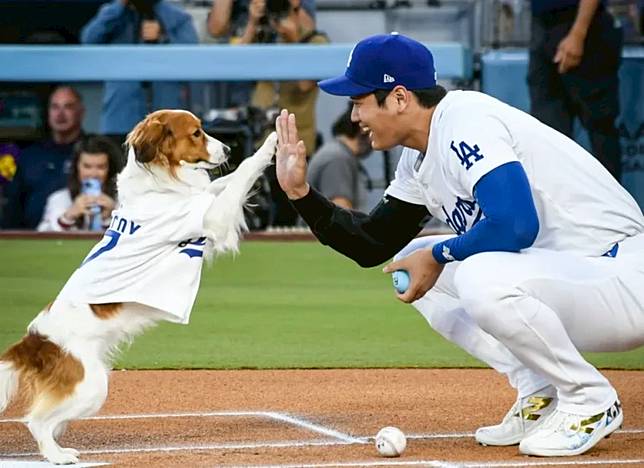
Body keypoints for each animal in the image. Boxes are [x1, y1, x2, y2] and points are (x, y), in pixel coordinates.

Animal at [0, 110, 276, 464]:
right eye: (197, 133)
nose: (228, 149)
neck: (158, 186)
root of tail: (33, 342)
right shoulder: (212, 218)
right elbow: (242, 174)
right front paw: (271, 144)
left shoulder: (203, 202)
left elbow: (218, 184)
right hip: (91, 385)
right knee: (36, 420)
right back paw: (57, 456)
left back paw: (60, 448)